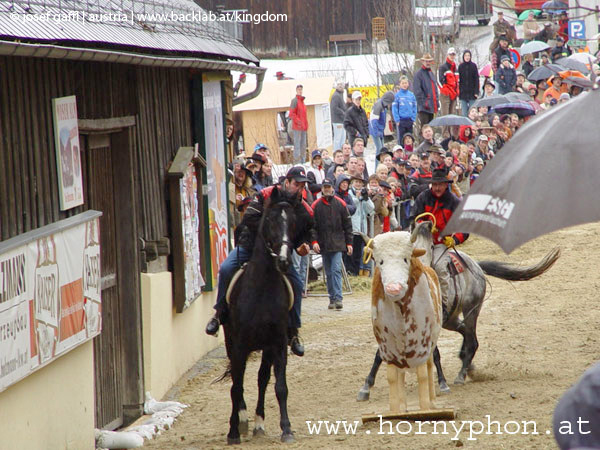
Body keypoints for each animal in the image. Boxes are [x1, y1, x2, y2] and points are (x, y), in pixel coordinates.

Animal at [224, 188, 298, 444]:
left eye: (293, 222)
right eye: (272, 221)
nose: (284, 261)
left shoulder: (278, 343)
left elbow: (281, 387)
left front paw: (287, 429)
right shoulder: (239, 346)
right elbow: (236, 387)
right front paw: (233, 431)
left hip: (265, 349)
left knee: (262, 379)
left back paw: (258, 423)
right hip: (232, 343)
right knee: (237, 382)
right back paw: (243, 420)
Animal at [356, 221, 556, 400]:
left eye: (406, 257)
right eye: (379, 261)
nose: (393, 287)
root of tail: (476, 266)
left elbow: (435, 353)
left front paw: (443, 383)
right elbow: (379, 354)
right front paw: (366, 387)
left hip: (471, 310)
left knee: (472, 340)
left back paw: (462, 374)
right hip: (451, 319)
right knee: (466, 333)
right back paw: (467, 363)